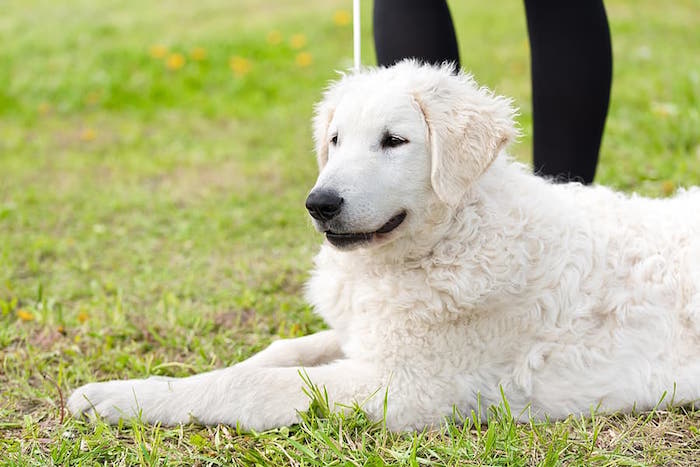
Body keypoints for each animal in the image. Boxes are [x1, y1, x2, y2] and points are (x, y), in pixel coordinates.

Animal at [67, 61, 700, 432]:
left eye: (394, 141)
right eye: (335, 140)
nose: (319, 204)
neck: (452, 236)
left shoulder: (404, 388)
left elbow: (248, 385)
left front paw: (118, 398)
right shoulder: (364, 336)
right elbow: (275, 353)